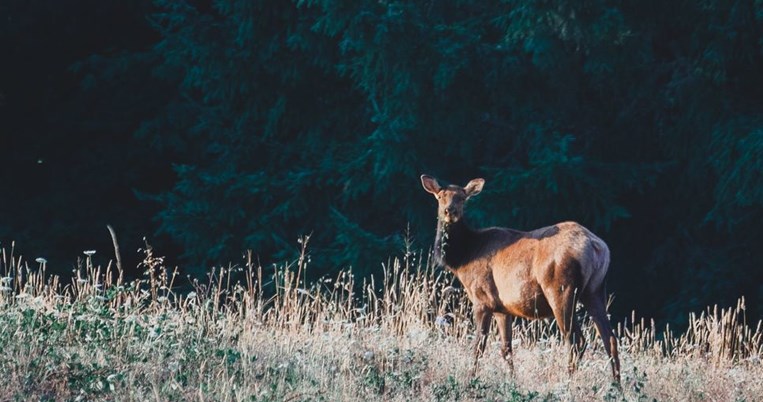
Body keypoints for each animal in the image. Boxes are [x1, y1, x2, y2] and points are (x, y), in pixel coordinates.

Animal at [420, 174, 624, 382]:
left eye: (462, 198)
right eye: (440, 196)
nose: (449, 211)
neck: (464, 257)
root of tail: (596, 246)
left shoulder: (482, 299)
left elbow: (479, 346)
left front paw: (471, 378)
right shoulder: (502, 308)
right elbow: (506, 349)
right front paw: (512, 380)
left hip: (560, 288)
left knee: (576, 340)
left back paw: (568, 380)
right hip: (595, 290)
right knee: (610, 338)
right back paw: (616, 384)